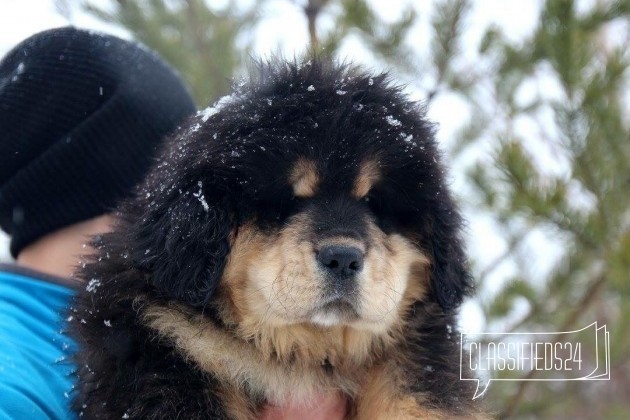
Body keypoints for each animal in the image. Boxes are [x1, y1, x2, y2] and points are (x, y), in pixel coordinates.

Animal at [70, 57, 484, 418]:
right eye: (286, 202)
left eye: (373, 202)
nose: (343, 257)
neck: (298, 354)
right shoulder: (166, 339)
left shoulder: (416, 352)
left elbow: (416, 400)